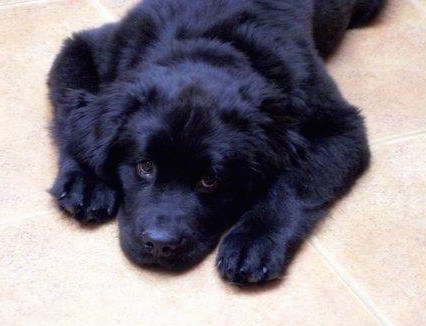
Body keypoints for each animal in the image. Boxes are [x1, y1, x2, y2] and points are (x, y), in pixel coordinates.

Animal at [48, 0, 384, 284]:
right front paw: (86, 182)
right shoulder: (89, 47)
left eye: (210, 181)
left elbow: (294, 183)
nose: (159, 244)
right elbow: (72, 114)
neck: (209, 40)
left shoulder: (340, 125)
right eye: (144, 167)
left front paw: (254, 241)